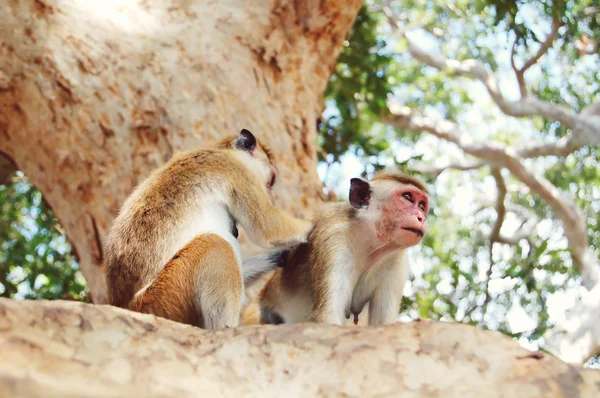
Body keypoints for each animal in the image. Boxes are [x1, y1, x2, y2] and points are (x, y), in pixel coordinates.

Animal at [104, 129, 314, 328]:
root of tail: (127, 307)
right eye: (270, 182)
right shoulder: (238, 172)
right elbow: (268, 228)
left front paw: (281, 255)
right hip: (162, 300)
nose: (272, 198)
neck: (221, 150)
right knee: (214, 245)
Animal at [241, 171, 428, 326]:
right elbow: (328, 317)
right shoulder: (334, 239)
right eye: (407, 197)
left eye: (421, 206)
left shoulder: (397, 262)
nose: (421, 218)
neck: (371, 246)